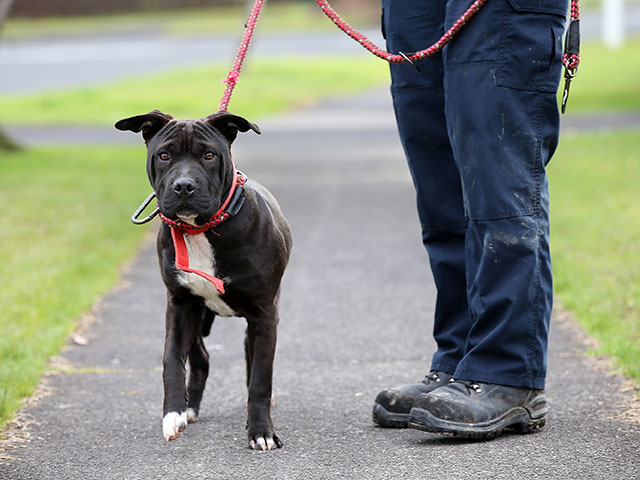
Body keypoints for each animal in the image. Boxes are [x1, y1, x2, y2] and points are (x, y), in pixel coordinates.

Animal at [115, 109, 292, 450]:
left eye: (209, 155)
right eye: (164, 155)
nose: (184, 186)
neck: (200, 230)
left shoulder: (264, 314)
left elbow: (261, 379)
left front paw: (261, 431)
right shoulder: (180, 305)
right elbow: (171, 360)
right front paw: (173, 414)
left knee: (251, 360)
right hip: (198, 316)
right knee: (201, 358)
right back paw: (189, 407)